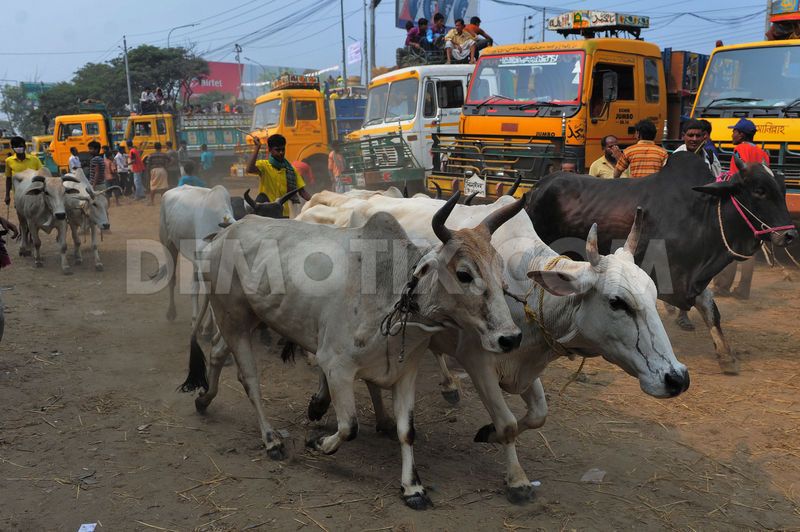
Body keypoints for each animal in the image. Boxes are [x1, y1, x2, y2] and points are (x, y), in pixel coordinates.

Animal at [184, 193, 528, 510]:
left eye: (500, 269)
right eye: (464, 274)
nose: (510, 338)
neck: (391, 290)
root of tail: (223, 236)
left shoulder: (406, 373)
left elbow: (407, 431)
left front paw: (413, 487)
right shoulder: (336, 367)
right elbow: (349, 426)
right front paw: (318, 442)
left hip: (245, 319)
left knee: (216, 354)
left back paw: (204, 399)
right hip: (233, 319)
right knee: (250, 380)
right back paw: (270, 440)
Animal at [296, 190, 692, 502]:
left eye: (654, 295)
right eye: (616, 302)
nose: (677, 378)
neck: (524, 287)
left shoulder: (524, 361)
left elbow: (538, 415)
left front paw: (486, 434)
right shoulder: (479, 361)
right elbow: (508, 423)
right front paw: (517, 480)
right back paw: (321, 401)